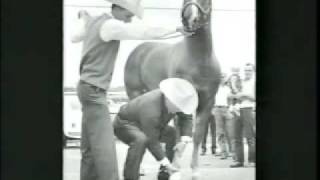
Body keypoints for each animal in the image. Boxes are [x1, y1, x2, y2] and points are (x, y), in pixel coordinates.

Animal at [124, 0, 221, 179]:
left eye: (206, 1)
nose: (189, 20)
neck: (199, 62)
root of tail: (139, 50)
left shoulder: (207, 102)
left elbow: (197, 135)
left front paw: (195, 171)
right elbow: (178, 134)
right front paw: (175, 168)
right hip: (134, 93)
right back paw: (142, 168)